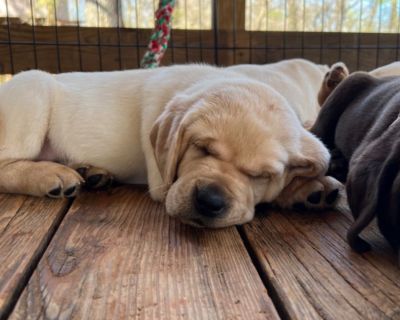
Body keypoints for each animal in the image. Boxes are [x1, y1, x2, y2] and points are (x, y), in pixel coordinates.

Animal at [0, 58, 340, 228]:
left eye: (262, 176)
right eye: (202, 148)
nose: (210, 200)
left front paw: (310, 188)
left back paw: (91, 171)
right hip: (33, 87)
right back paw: (50, 175)